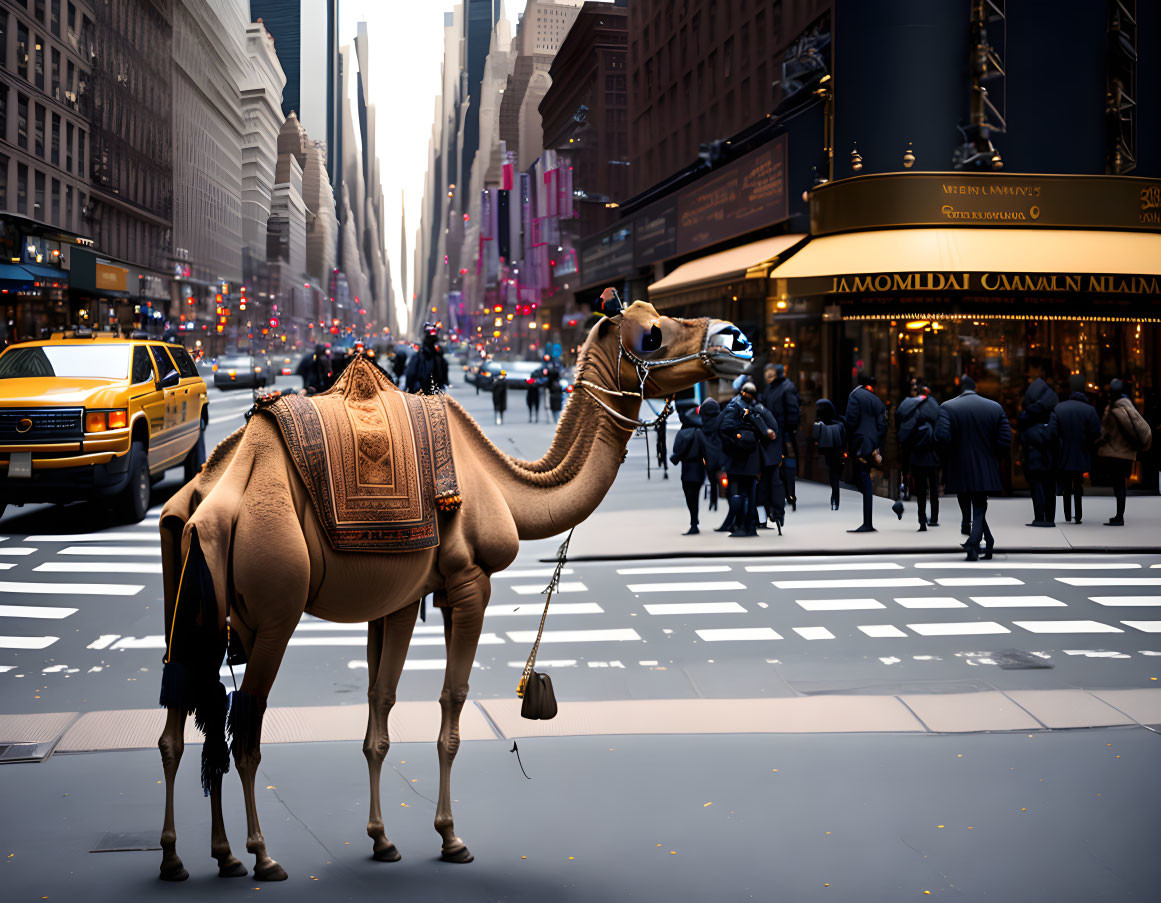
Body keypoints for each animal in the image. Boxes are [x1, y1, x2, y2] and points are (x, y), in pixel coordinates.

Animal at [154, 299, 752, 877]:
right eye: (651, 334)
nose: (737, 339)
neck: (505, 486)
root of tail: (204, 500)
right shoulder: (468, 584)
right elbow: (452, 703)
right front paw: (450, 838)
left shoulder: (398, 598)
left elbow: (379, 711)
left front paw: (382, 840)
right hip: (276, 605)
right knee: (245, 727)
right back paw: (260, 856)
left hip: (195, 608)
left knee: (187, 719)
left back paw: (199, 857)